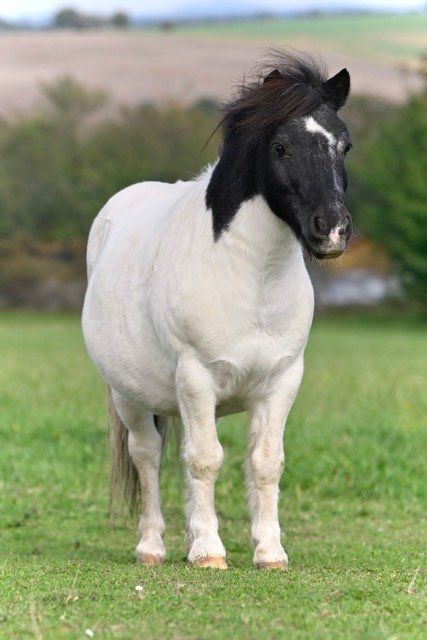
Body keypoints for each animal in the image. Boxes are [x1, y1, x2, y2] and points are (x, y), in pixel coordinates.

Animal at [82, 51, 353, 570]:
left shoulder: (282, 380)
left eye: (344, 146)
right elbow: (204, 459)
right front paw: (208, 551)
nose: (331, 229)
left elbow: (265, 463)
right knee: (148, 455)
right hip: (129, 395)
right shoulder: (196, 377)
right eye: (281, 148)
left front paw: (269, 552)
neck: (251, 276)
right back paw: (152, 546)